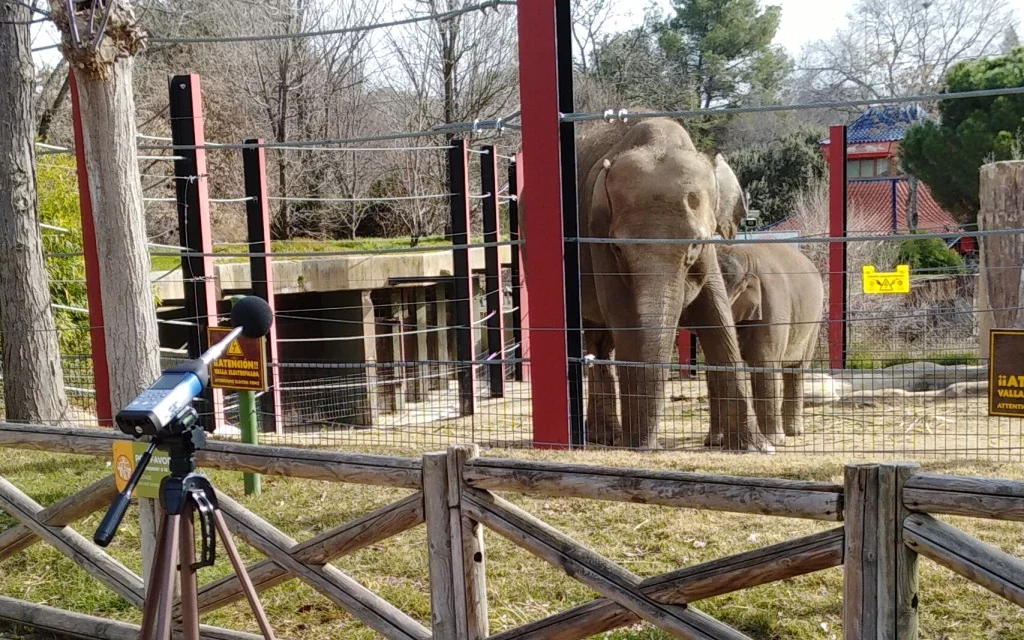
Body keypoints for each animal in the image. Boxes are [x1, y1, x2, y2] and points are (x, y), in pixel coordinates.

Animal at [577, 117, 770, 452]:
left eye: (694, 244)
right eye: (618, 249)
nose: (648, 446)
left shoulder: (709, 250)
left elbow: (717, 317)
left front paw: (756, 447)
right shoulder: (596, 233)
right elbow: (623, 316)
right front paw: (636, 445)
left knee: (600, 341)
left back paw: (606, 436)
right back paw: (605, 437)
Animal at [720, 243, 823, 444]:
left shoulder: (772, 304)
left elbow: (764, 363)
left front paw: (774, 441)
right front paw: (716, 441)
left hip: (814, 321)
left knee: (797, 370)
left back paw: (793, 432)